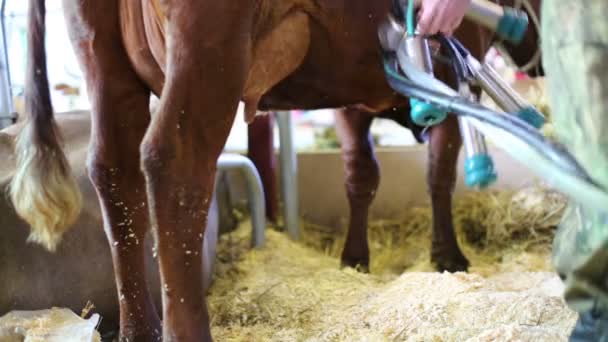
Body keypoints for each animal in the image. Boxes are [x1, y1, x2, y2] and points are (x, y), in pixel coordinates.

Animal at [10, 0, 536, 342]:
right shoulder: (452, 70)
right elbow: (440, 174)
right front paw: (449, 256)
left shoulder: (356, 92)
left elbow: (361, 176)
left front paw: (355, 257)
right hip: (207, 42)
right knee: (172, 162)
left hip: (100, 52)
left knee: (113, 171)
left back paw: (139, 329)